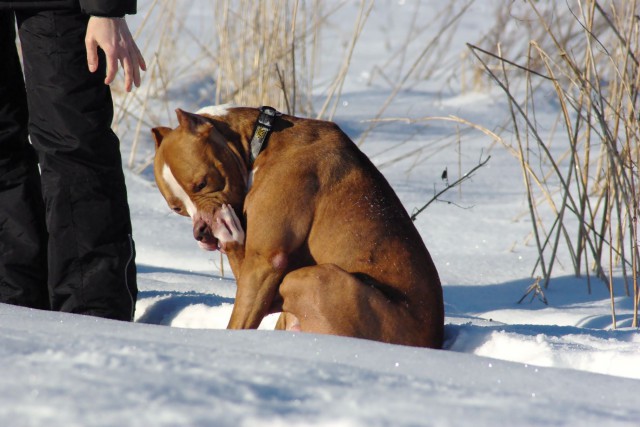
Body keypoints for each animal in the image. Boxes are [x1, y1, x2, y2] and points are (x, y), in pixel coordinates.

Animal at [154, 106, 444, 348]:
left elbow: (241, 317)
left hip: (316, 279)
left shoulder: (265, 260)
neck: (261, 139)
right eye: (177, 208)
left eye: (202, 183)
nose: (201, 231)